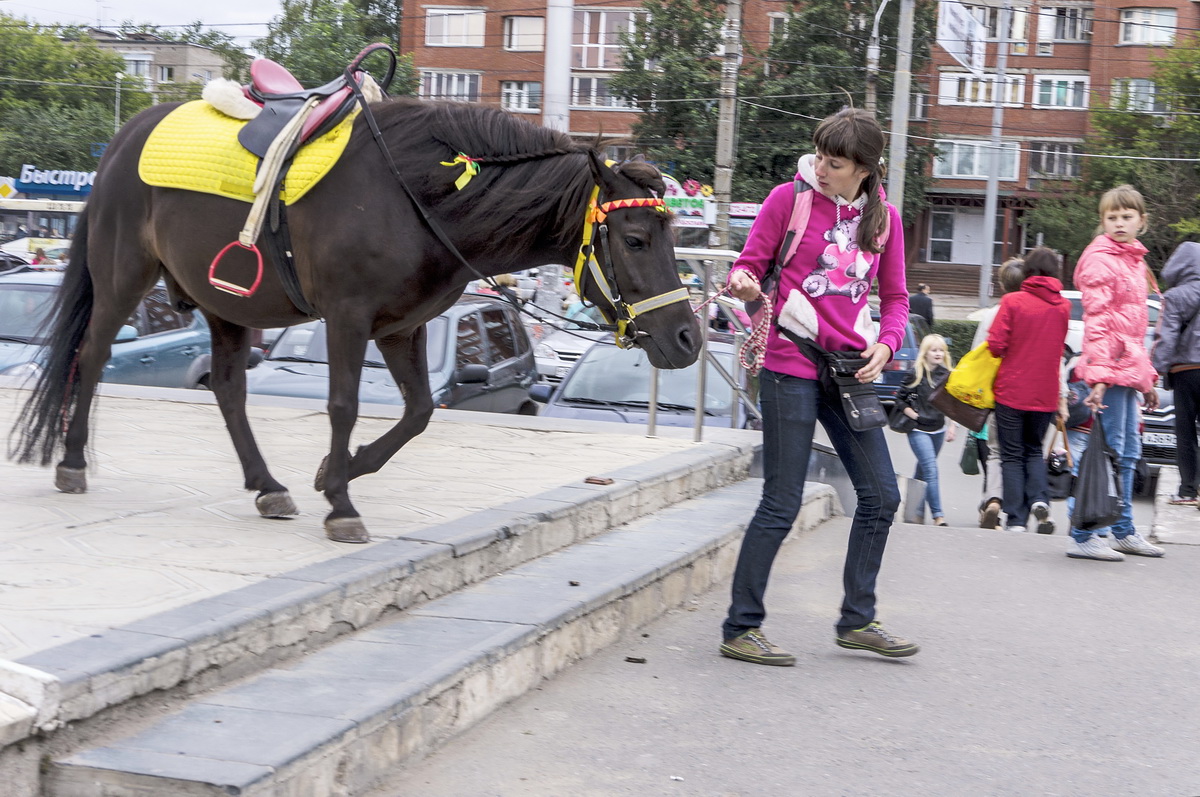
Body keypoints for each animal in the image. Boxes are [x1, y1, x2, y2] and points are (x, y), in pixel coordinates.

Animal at [7, 93, 700, 542]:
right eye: (636, 239)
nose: (688, 337)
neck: (417, 195)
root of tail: (127, 138)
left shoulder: (402, 328)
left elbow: (418, 413)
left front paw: (333, 472)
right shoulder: (346, 317)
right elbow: (344, 404)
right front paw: (341, 501)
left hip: (226, 300)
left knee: (228, 389)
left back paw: (266, 483)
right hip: (122, 277)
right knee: (92, 356)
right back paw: (73, 461)